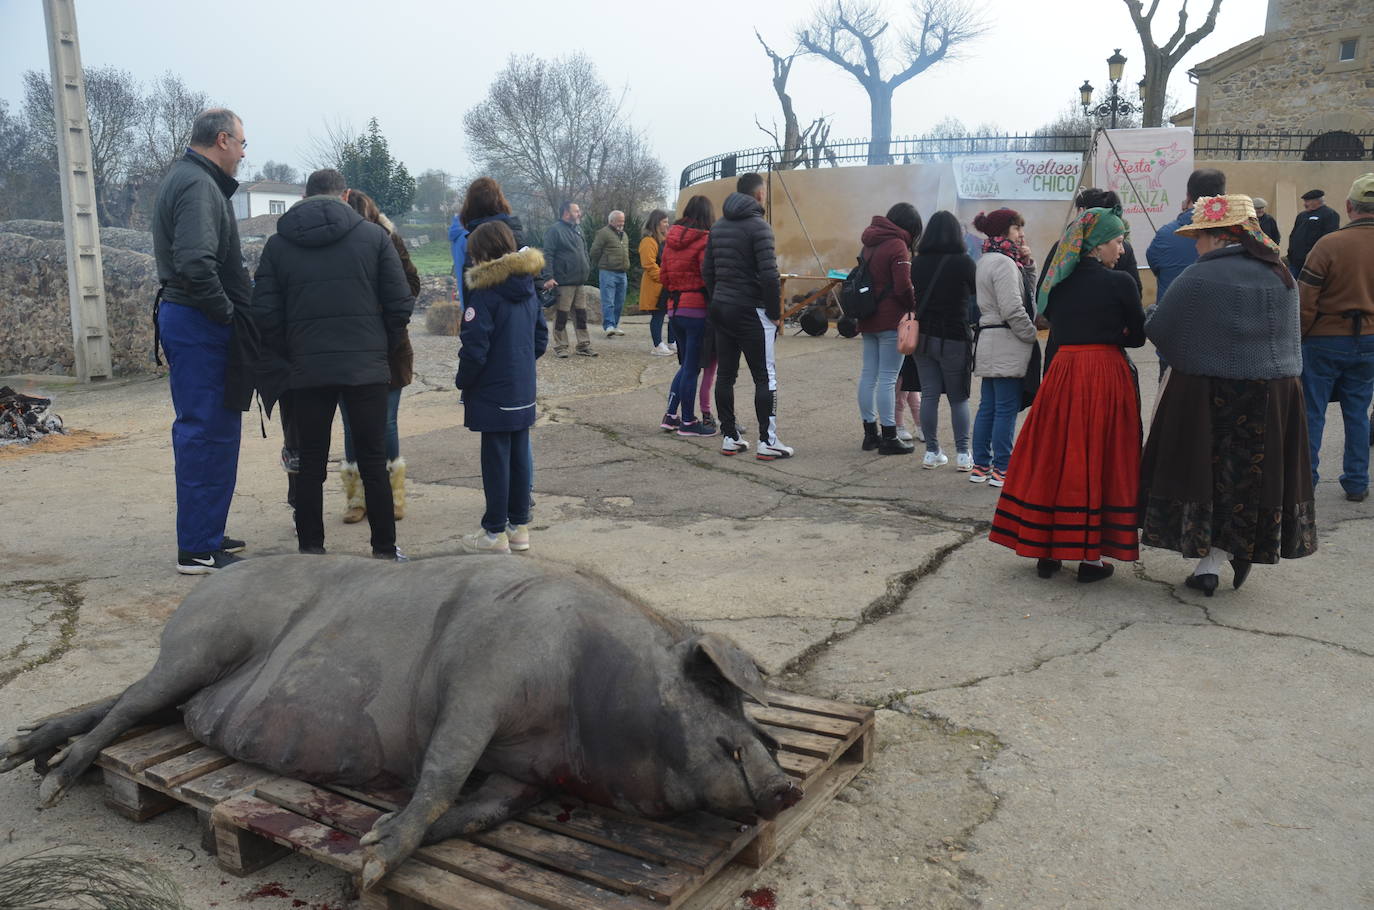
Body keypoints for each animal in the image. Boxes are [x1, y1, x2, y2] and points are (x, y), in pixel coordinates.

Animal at [0, 555, 802, 890]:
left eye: (765, 736)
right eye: (732, 732)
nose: (788, 786)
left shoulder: (524, 776)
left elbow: (481, 812)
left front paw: (370, 835)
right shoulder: (481, 681)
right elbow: (444, 771)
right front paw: (373, 863)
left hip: (188, 676)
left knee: (124, 702)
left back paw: (24, 749)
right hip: (202, 643)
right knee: (127, 706)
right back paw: (47, 785)